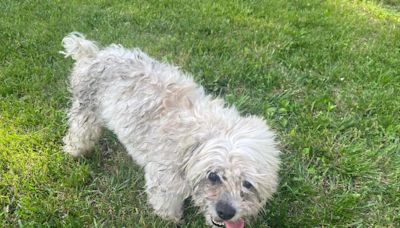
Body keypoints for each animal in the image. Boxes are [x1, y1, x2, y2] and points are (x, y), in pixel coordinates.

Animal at [61, 32, 280, 228]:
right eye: (213, 176)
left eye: (247, 183)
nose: (226, 212)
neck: (199, 138)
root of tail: (92, 55)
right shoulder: (164, 180)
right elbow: (166, 204)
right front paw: (171, 219)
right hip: (86, 113)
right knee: (79, 133)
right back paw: (74, 151)